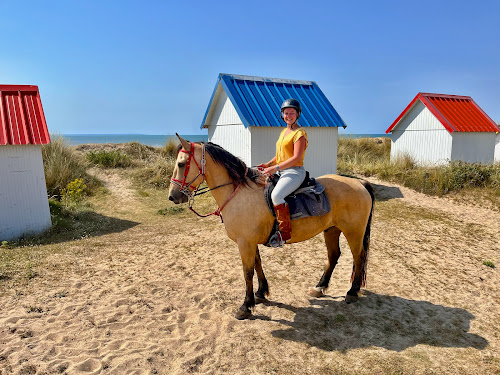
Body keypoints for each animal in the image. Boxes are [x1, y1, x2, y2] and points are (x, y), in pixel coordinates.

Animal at [169, 135, 376, 320]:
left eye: (181, 164)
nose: (172, 196)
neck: (239, 193)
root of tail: (359, 183)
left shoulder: (245, 243)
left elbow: (247, 272)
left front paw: (245, 306)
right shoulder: (250, 242)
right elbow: (258, 265)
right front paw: (261, 293)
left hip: (353, 232)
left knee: (359, 257)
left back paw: (352, 292)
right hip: (332, 229)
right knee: (333, 256)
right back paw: (320, 287)